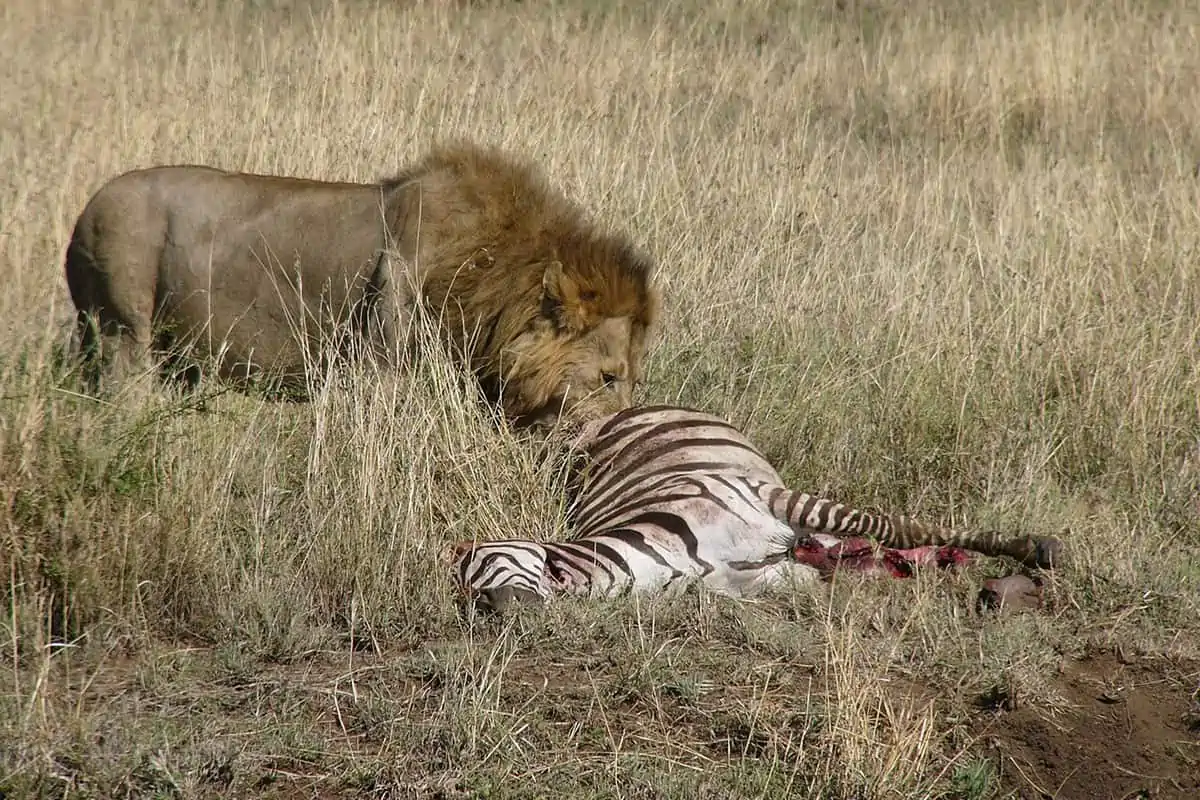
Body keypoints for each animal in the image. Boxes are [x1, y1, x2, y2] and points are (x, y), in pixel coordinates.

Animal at [64, 145, 662, 431]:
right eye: (608, 377)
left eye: (633, 379)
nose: (624, 432)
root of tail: (84, 212)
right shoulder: (378, 366)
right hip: (122, 330)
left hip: (179, 356)